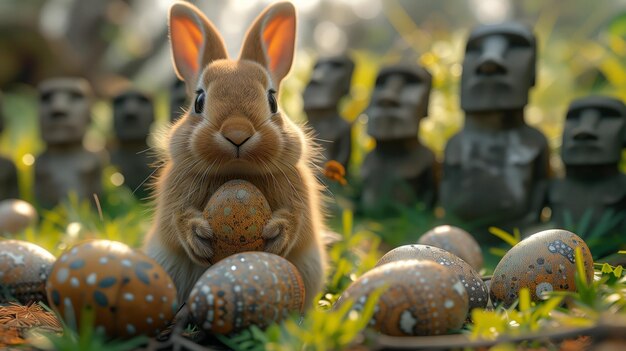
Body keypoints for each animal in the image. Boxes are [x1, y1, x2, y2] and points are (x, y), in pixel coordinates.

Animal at [142, 0, 326, 308]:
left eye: (272, 101)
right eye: (199, 101)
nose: (237, 133)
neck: (237, 171)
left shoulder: (300, 199)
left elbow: (297, 221)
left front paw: (276, 232)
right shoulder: (173, 197)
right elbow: (175, 222)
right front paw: (199, 234)